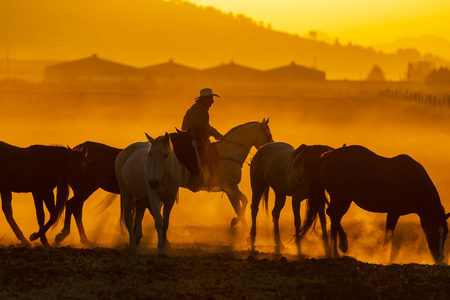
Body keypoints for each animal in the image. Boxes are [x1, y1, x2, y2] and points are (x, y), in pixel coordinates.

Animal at [56, 127, 202, 245]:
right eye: (188, 146)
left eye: (195, 145)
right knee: (72, 205)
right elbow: (151, 215)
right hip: (85, 189)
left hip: (84, 190)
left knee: (75, 207)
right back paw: (67, 235)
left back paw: (82, 239)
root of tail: (74, 151)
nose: (198, 170)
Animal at [300, 145, 448, 264]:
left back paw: (337, 249)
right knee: (334, 215)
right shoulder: (393, 212)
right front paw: (383, 258)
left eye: (446, 232)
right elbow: (388, 235)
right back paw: (337, 250)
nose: (440, 258)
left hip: (341, 199)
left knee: (333, 215)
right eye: (434, 230)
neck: (413, 182)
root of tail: (326, 156)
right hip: (342, 198)